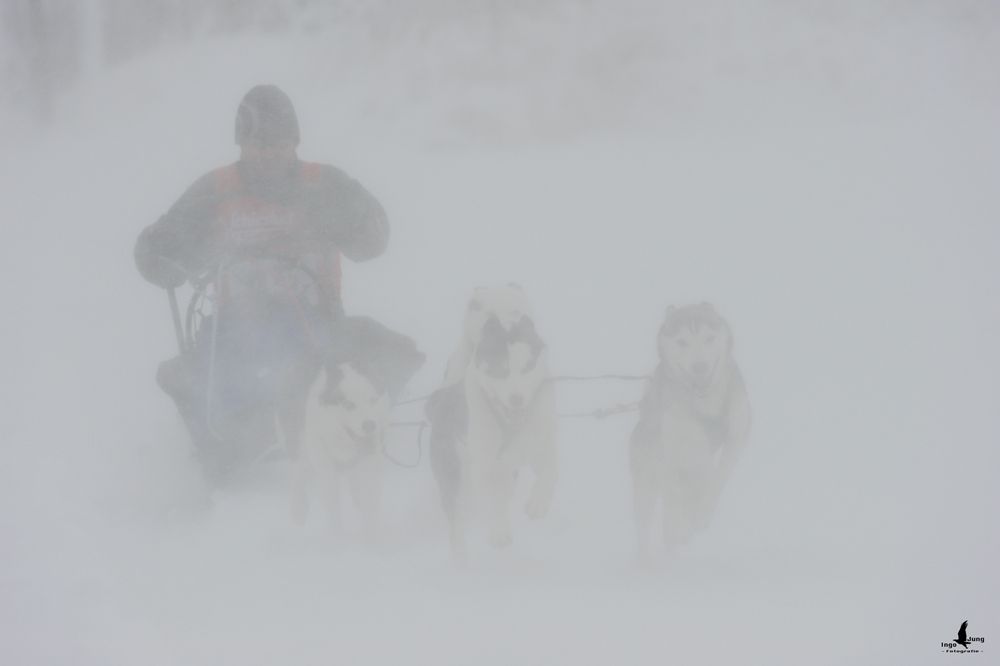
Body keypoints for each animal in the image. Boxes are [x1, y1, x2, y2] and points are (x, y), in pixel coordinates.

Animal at [632, 300, 752, 556]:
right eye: (681, 342)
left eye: (709, 338)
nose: (699, 366)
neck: (706, 404)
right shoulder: (681, 438)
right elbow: (701, 465)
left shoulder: (739, 431)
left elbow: (719, 475)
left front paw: (703, 510)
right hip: (647, 480)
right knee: (649, 522)